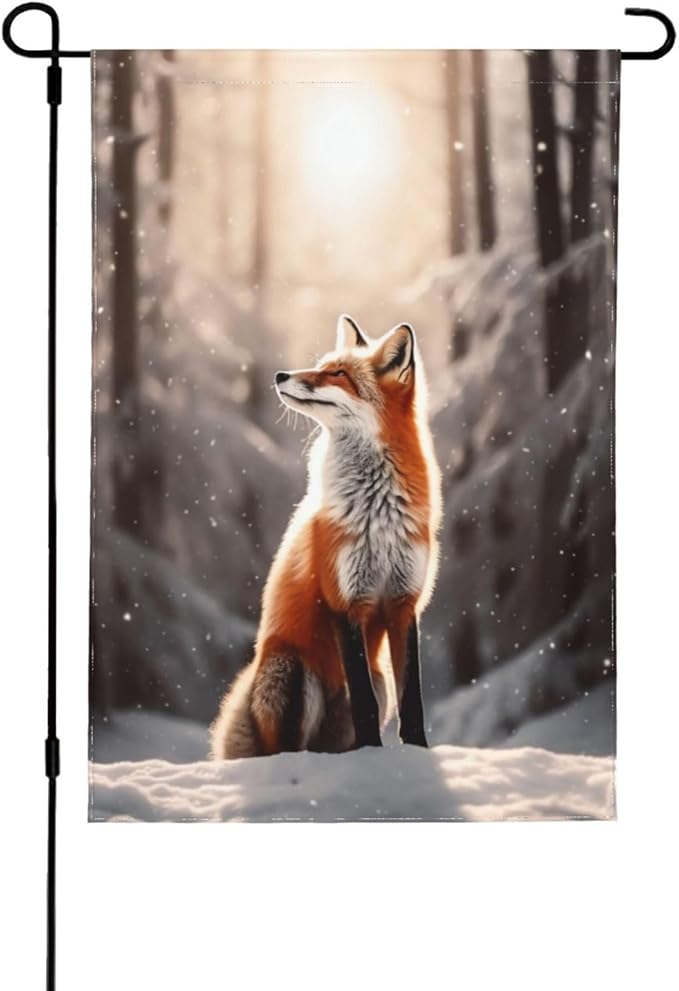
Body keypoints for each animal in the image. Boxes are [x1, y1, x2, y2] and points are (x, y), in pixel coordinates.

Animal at [210, 314, 441, 759]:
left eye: (338, 374)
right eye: (322, 366)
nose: (280, 375)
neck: (376, 512)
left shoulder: (404, 603)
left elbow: (413, 700)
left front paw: (417, 753)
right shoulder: (344, 599)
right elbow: (364, 703)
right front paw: (372, 755)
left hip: (377, 679)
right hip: (291, 673)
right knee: (287, 746)